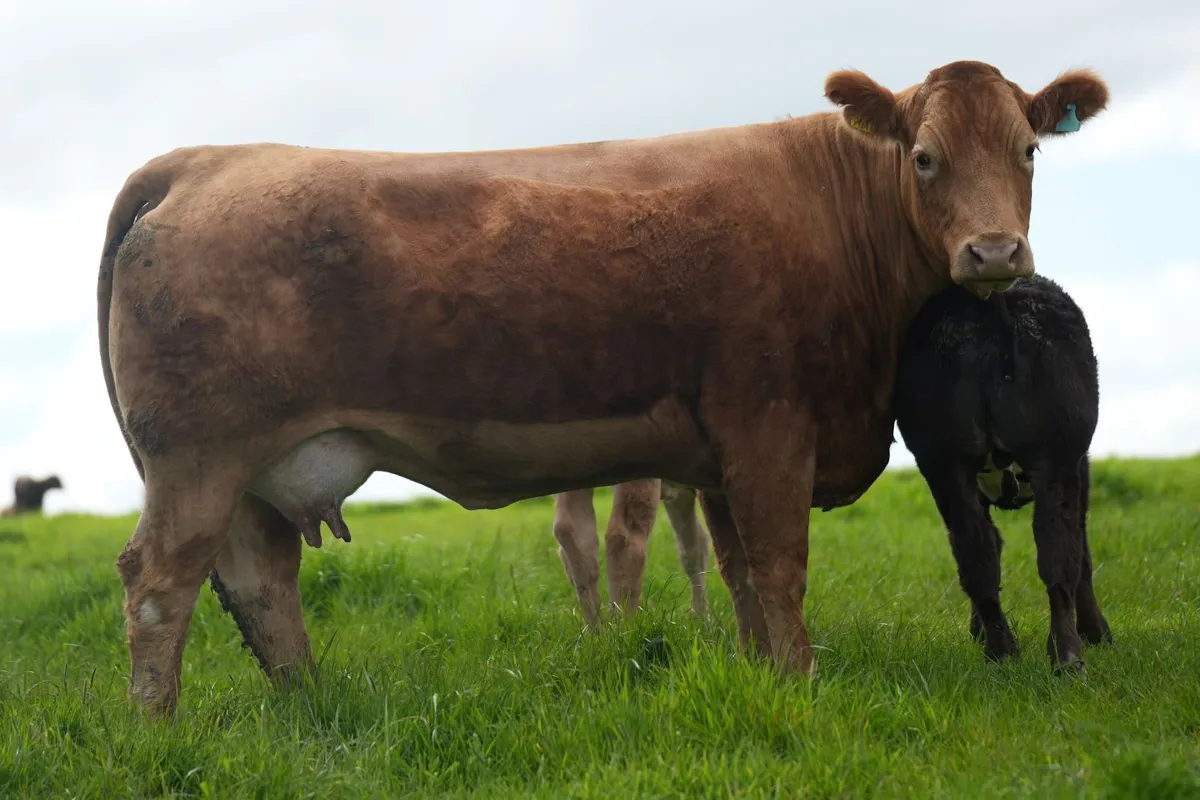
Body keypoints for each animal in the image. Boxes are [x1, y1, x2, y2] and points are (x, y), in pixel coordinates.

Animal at [894, 274, 1109, 671]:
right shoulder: (1080, 465)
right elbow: (1083, 554)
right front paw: (1098, 632)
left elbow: (991, 542)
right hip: (1057, 457)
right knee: (1060, 556)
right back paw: (1068, 657)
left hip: (943, 463)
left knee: (976, 553)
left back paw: (1001, 652)